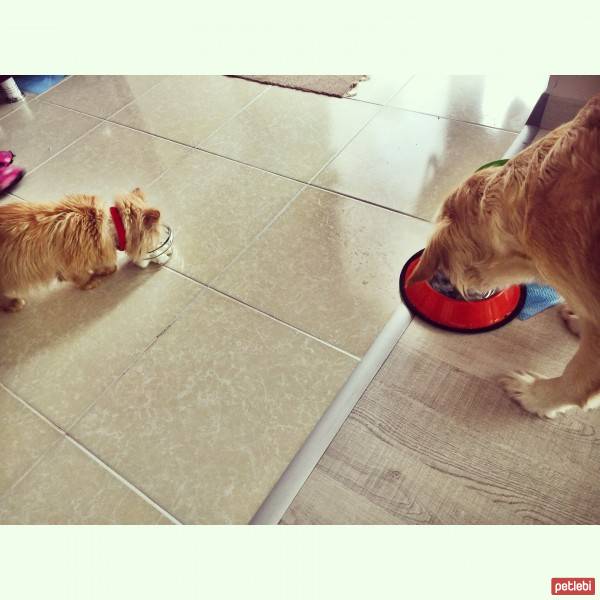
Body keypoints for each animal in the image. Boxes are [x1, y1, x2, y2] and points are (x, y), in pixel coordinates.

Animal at [0, 188, 162, 312]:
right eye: (157, 234)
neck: (109, 226)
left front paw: (105, 269)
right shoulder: (72, 264)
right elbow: (82, 276)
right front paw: (91, 281)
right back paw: (13, 303)